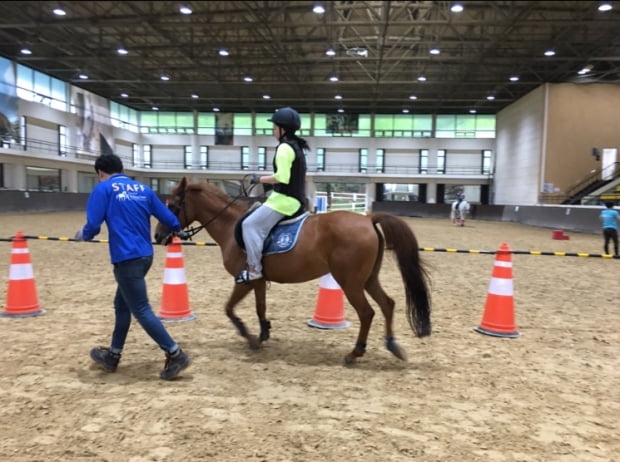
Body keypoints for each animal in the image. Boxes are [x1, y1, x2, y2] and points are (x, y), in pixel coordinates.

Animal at [155, 179, 432, 366]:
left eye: (171, 204)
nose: (158, 236)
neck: (232, 224)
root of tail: (367, 219)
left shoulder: (244, 280)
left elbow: (229, 309)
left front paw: (250, 337)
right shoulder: (258, 280)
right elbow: (260, 308)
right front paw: (263, 333)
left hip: (351, 282)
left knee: (367, 313)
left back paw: (355, 353)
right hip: (368, 279)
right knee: (388, 304)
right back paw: (392, 345)